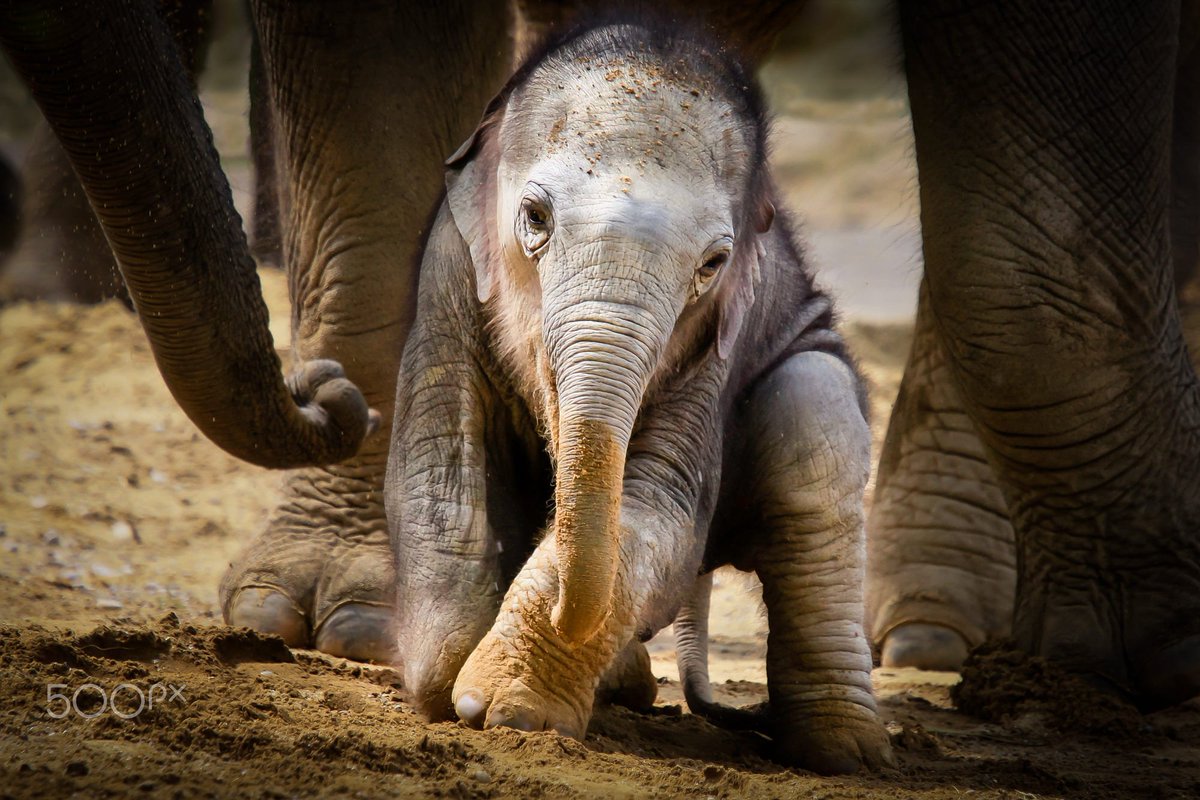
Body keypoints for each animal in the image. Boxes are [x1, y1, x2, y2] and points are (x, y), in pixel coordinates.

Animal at [383, 17, 892, 774]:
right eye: (534, 217)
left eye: (713, 264)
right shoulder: (449, 273)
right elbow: (437, 476)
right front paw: (448, 688)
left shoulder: (717, 344)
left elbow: (660, 513)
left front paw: (503, 708)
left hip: (812, 371)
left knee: (813, 434)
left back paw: (848, 754)